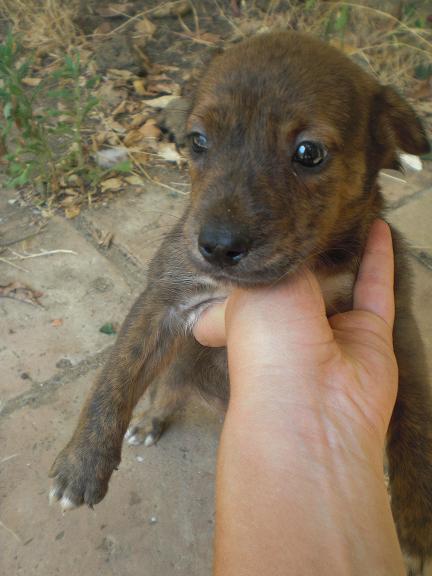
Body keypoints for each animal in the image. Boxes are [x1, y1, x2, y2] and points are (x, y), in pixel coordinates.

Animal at [51, 32, 432, 576]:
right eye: (198, 142)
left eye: (308, 152)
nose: (217, 246)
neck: (315, 262)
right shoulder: (165, 297)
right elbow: (115, 376)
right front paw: (81, 463)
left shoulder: (398, 327)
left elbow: (415, 422)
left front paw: (417, 521)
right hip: (177, 365)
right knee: (165, 389)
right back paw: (150, 421)